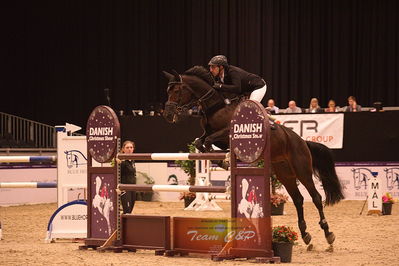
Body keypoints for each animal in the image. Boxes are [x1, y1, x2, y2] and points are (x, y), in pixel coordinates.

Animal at [164, 65, 346, 246]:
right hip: (285, 173)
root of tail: (302, 141)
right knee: (298, 199)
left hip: (302, 170)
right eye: (168, 91)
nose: (167, 115)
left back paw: (328, 233)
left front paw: (225, 162)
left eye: (177, 90)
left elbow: (208, 141)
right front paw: (222, 160)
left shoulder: (227, 133)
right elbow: (200, 142)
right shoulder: (209, 134)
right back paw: (305, 234)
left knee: (316, 197)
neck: (217, 107)